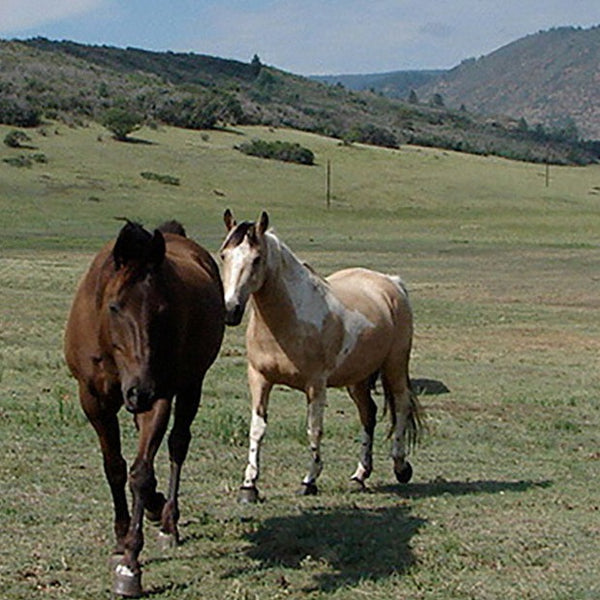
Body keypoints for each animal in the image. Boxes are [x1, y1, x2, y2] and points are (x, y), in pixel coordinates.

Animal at [64, 220, 225, 596]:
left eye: (163, 310)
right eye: (115, 306)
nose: (141, 390)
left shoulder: (161, 397)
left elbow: (140, 473)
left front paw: (130, 565)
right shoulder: (94, 401)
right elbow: (115, 468)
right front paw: (120, 539)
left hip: (191, 384)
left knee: (178, 444)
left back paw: (168, 523)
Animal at [219, 211, 422, 502]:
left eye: (256, 259)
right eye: (224, 255)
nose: (231, 310)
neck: (288, 319)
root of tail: (392, 283)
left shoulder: (315, 384)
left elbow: (313, 430)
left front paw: (309, 481)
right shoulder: (259, 379)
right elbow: (257, 429)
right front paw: (249, 486)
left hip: (394, 365)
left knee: (402, 404)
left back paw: (401, 466)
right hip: (357, 378)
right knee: (368, 414)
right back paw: (359, 475)